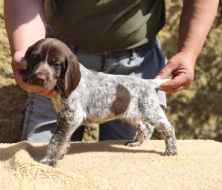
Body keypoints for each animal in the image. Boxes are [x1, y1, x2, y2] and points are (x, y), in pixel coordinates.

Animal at [22, 38, 178, 166]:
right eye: (34, 58)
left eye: (56, 64)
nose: (39, 78)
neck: (61, 87)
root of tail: (148, 82)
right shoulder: (63, 115)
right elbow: (64, 138)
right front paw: (60, 154)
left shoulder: (71, 116)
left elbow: (56, 139)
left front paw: (49, 160)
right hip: (132, 113)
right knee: (145, 128)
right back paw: (136, 143)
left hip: (151, 111)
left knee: (168, 128)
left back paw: (171, 151)